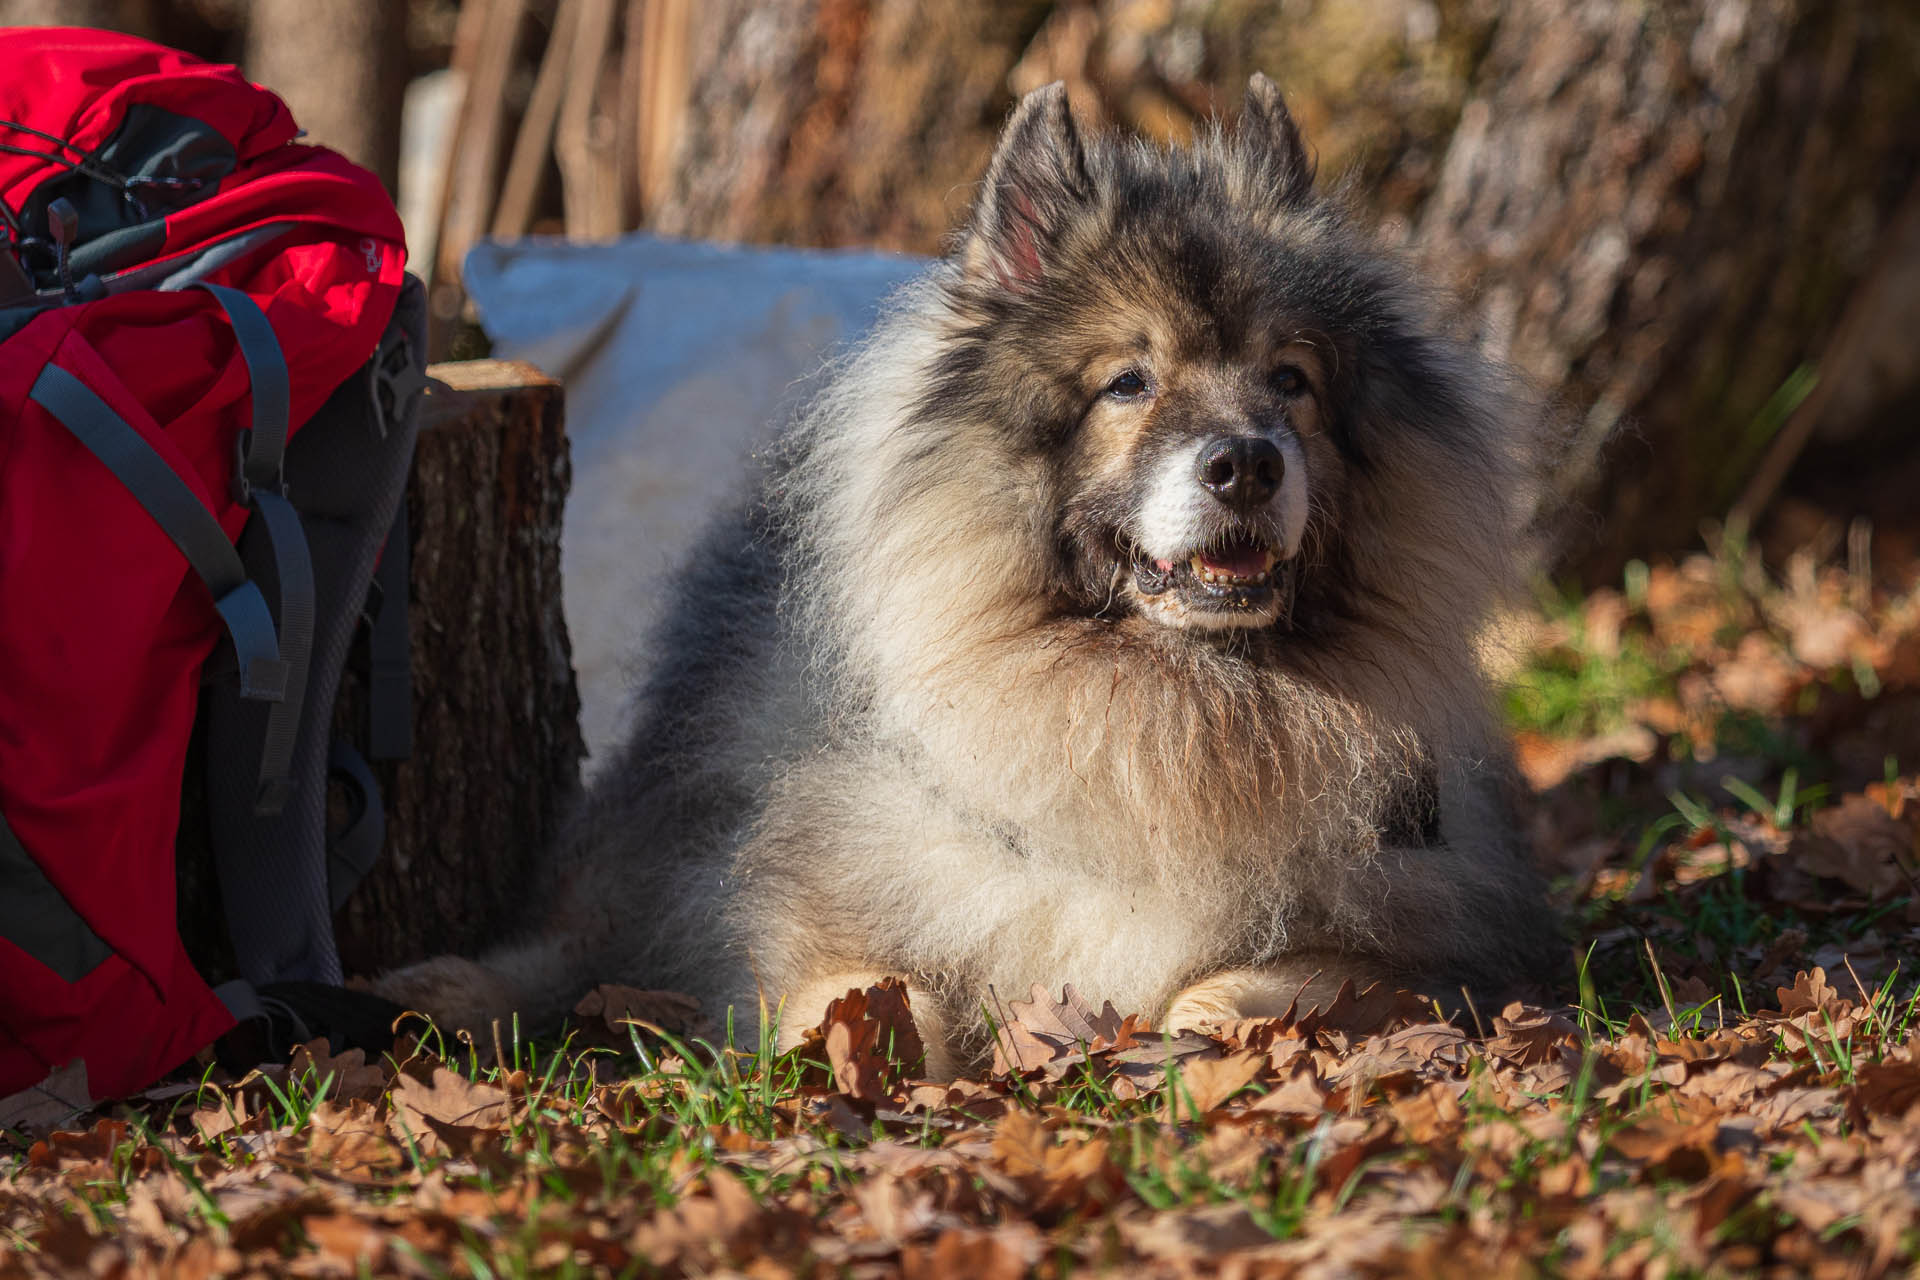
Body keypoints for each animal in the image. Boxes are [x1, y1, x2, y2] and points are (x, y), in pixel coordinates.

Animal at [374, 77, 1559, 1082]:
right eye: (1128, 383)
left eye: (1291, 380)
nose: (1248, 462)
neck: (1157, 710)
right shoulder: (811, 904)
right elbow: (871, 990)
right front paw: (857, 1064)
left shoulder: (1417, 934)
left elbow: (1239, 986)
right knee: (574, 932)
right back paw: (444, 994)